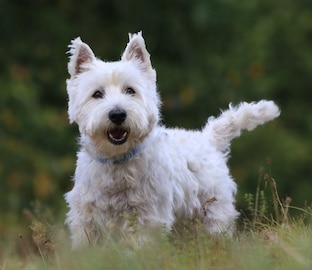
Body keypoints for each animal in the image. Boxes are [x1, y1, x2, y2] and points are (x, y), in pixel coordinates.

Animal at [64, 31, 280, 249]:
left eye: (130, 90)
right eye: (97, 94)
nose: (117, 114)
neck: (117, 160)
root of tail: (207, 138)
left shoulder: (147, 214)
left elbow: (140, 245)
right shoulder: (85, 214)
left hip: (213, 209)